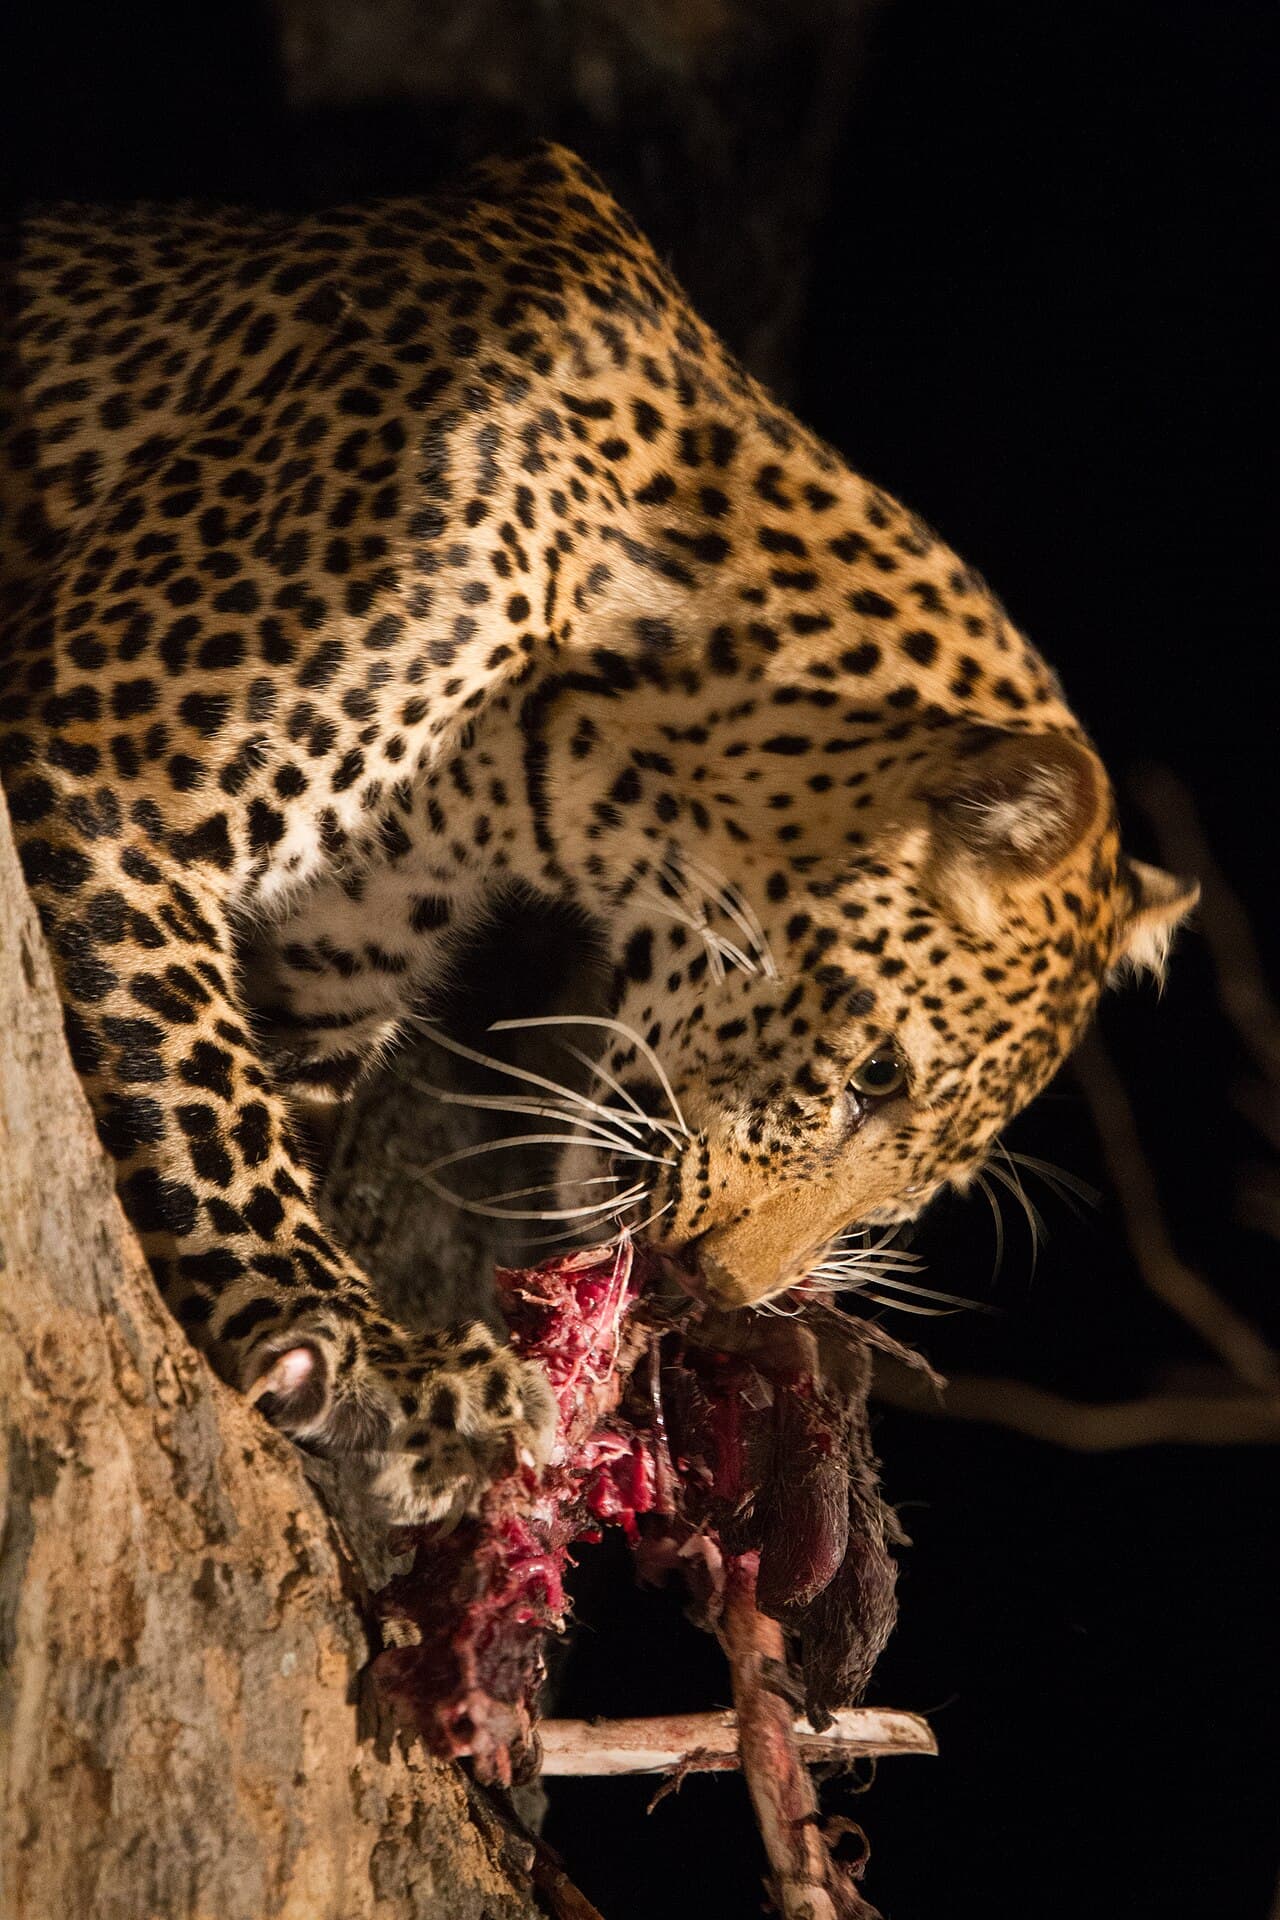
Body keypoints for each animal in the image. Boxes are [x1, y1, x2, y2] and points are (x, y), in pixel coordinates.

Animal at [0, 143, 1196, 1524]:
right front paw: (374, 1362)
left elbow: (253, 1102)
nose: (716, 1293)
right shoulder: (112, 754)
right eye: (872, 1077)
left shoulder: (326, 979)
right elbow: (210, 1112)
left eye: (921, 1181)